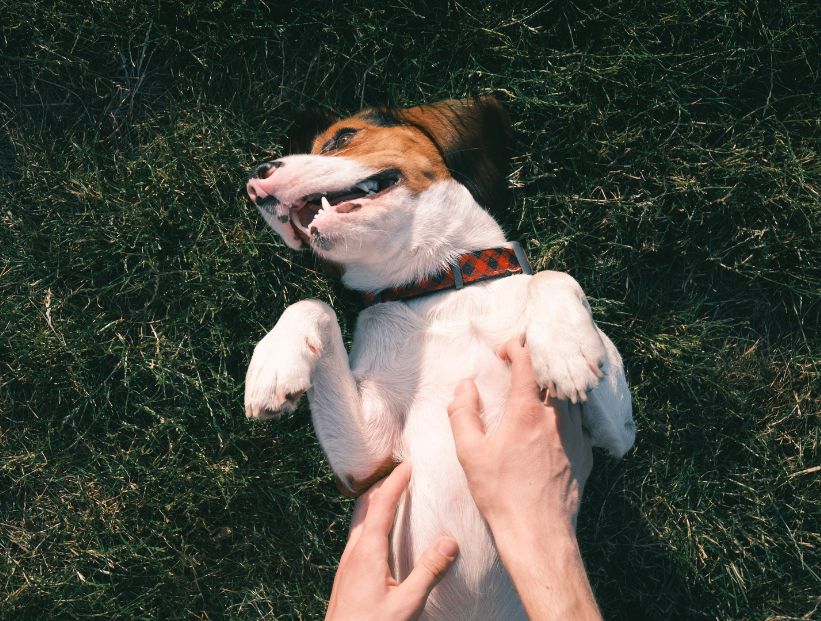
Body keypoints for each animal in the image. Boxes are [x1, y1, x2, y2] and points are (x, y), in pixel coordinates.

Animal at [242, 98, 636, 620]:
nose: (254, 178)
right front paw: (271, 364)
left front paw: (565, 348)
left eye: (342, 137)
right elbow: (313, 305)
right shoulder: (368, 465)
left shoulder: (617, 436)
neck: (438, 285)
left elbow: (553, 274)